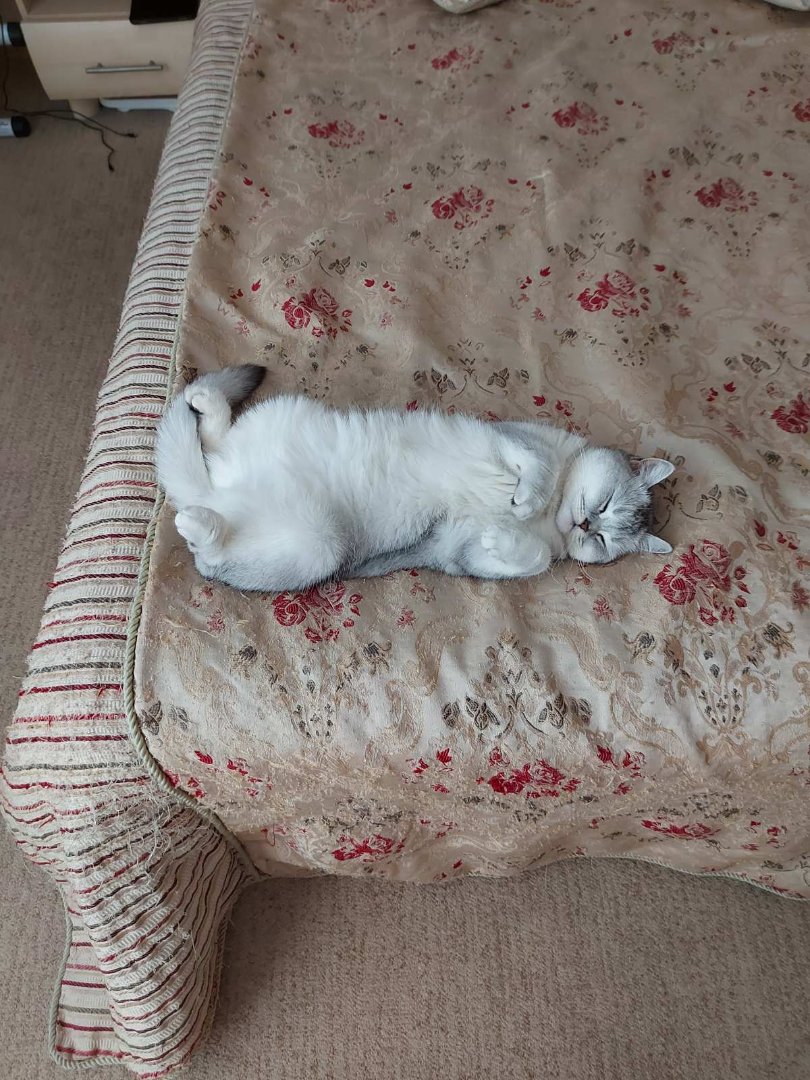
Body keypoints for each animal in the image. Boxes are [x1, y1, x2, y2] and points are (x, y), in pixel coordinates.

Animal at [156, 364, 674, 592]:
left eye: (602, 541)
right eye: (604, 505)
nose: (585, 525)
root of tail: (218, 496)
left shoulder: (459, 552)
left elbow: (535, 558)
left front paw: (505, 537)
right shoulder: (512, 438)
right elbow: (538, 465)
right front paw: (526, 499)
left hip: (316, 546)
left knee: (210, 548)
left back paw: (199, 522)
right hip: (287, 424)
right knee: (213, 446)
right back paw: (205, 405)